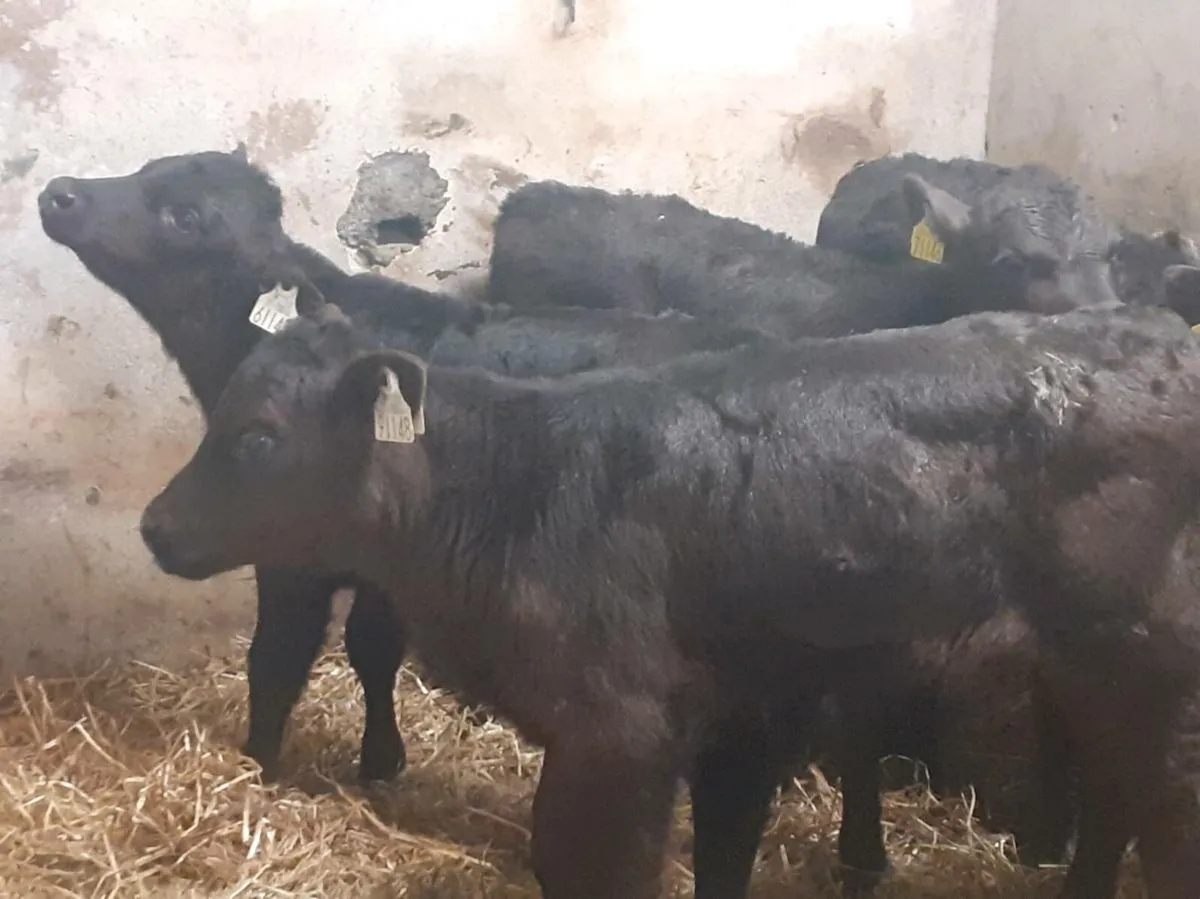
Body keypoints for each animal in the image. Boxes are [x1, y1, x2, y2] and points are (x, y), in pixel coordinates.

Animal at [140, 298, 1200, 899]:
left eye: (260, 436)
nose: (154, 524)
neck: (512, 489)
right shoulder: (737, 713)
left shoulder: (619, 732)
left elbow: (592, 868)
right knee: (1115, 798)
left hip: (1143, 664)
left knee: (1159, 808)